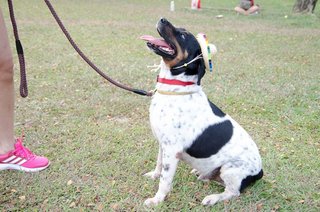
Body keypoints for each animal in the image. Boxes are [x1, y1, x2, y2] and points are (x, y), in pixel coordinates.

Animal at [141, 17, 262, 206]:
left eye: (183, 35)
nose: (162, 19)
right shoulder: (163, 144)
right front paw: (153, 176)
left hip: (230, 169)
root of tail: (260, 171)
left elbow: (165, 180)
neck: (176, 88)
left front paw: (157, 200)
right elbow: (159, 165)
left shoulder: (172, 149)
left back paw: (212, 198)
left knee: (233, 192)